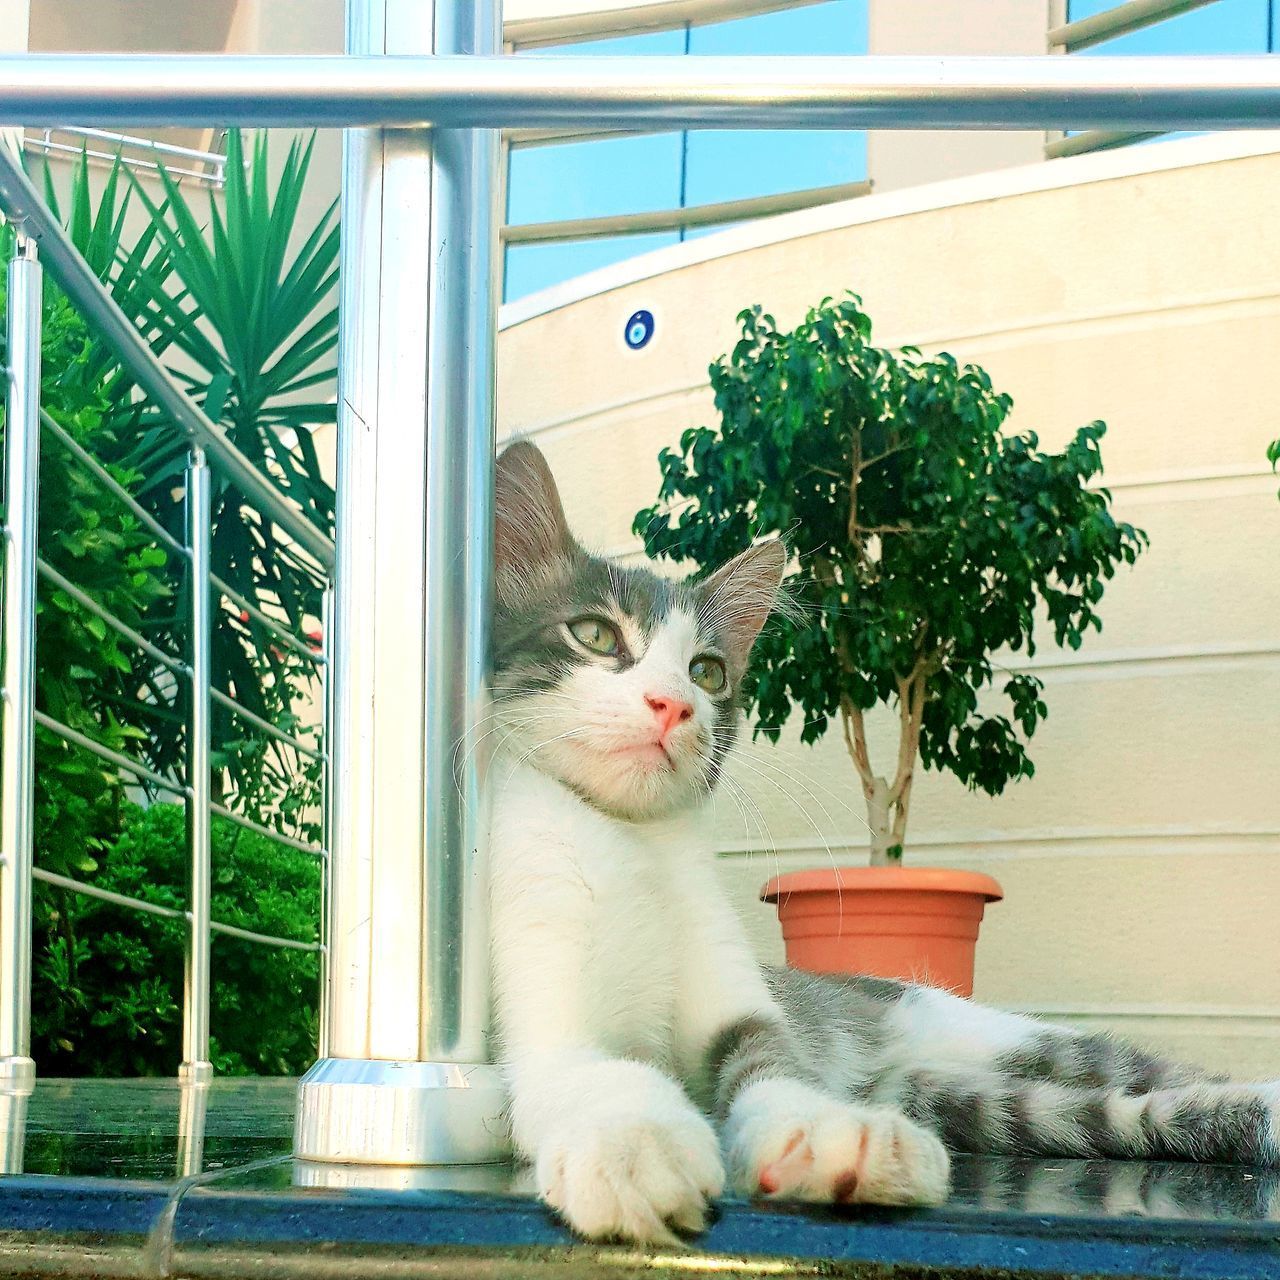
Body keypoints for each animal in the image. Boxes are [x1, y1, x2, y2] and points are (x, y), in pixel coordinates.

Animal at [483, 442, 1274, 1249]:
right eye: (595, 635)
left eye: (707, 671)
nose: (673, 704)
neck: (633, 841)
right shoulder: (535, 968)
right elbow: (582, 1068)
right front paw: (633, 1140)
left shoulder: (741, 997)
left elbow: (773, 1062)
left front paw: (826, 1130)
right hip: (965, 1094)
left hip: (986, 1033)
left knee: (1131, 1070)